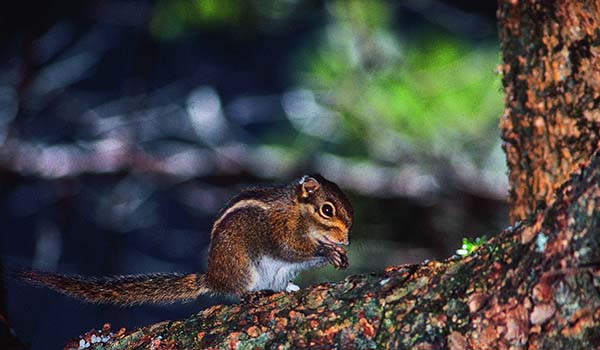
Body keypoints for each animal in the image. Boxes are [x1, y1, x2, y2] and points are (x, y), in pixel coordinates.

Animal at [16, 176, 352, 304]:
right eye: (327, 209)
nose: (347, 238)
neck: (299, 212)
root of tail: (212, 277)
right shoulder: (280, 229)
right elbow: (290, 249)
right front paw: (328, 250)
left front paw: (339, 254)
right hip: (243, 266)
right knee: (237, 291)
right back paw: (252, 294)